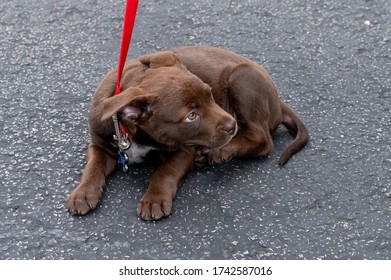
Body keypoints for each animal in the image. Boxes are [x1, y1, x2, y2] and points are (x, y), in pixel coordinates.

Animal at [67, 46, 310, 221]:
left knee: (263, 140)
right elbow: (94, 166)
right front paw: (83, 193)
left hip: (242, 77)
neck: (132, 133)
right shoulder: (100, 144)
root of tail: (278, 101)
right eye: (191, 116)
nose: (231, 125)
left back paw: (220, 151)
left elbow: (165, 171)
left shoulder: (185, 149)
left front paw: (154, 199)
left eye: (211, 95)